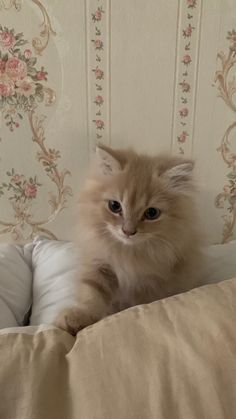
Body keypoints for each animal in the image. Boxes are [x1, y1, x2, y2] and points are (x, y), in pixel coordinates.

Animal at [55, 146, 205, 336]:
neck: (127, 253)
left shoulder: (151, 282)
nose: (128, 231)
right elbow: (91, 294)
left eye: (152, 213)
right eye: (114, 206)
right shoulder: (100, 265)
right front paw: (79, 317)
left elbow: (140, 305)